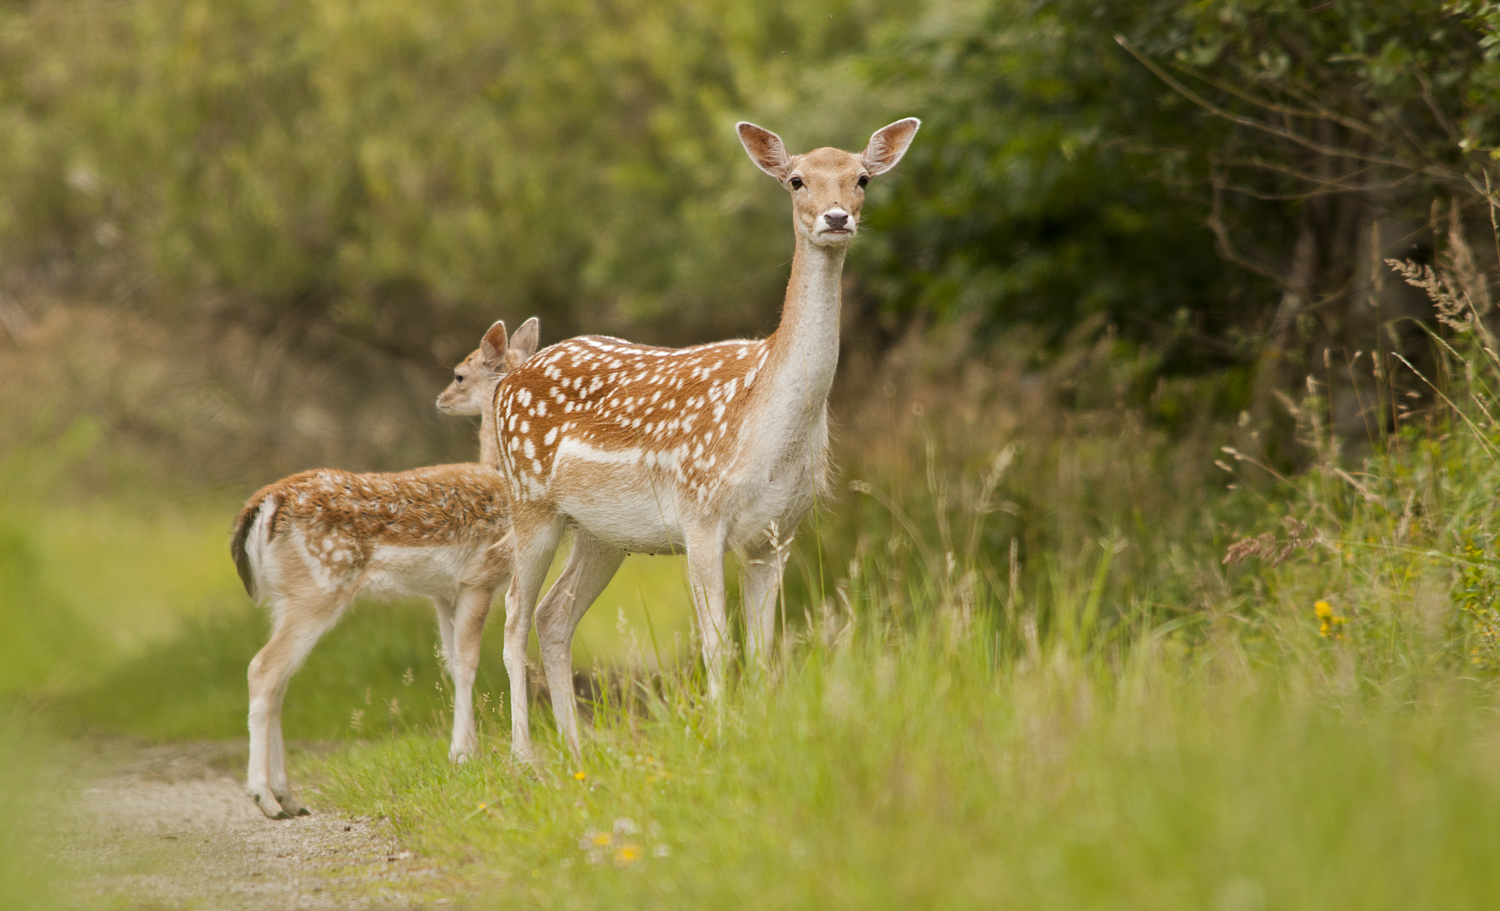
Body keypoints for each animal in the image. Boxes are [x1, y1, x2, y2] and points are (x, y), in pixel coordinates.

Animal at [228, 319, 540, 822]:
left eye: (458, 375)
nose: (441, 399)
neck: (497, 473)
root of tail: (263, 504)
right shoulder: (480, 575)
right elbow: (469, 662)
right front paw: (464, 755)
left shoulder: (444, 591)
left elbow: (453, 662)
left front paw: (461, 752)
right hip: (321, 586)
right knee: (264, 669)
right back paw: (266, 799)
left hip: (288, 596)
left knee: (280, 678)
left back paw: (289, 797)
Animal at [492, 121, 912, 762]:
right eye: (796, 180)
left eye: (862, 178)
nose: (837, 218)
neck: (764, 424)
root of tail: (506, 382)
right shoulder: (700, 514)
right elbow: (717, 643)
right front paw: (720, 737)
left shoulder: (777, 534)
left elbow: (763, 650)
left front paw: (762, 735)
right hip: (528, 500)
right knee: (515, 615)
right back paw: (524, 757)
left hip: (600, 533)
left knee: (553, 613)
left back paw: (578, 752)